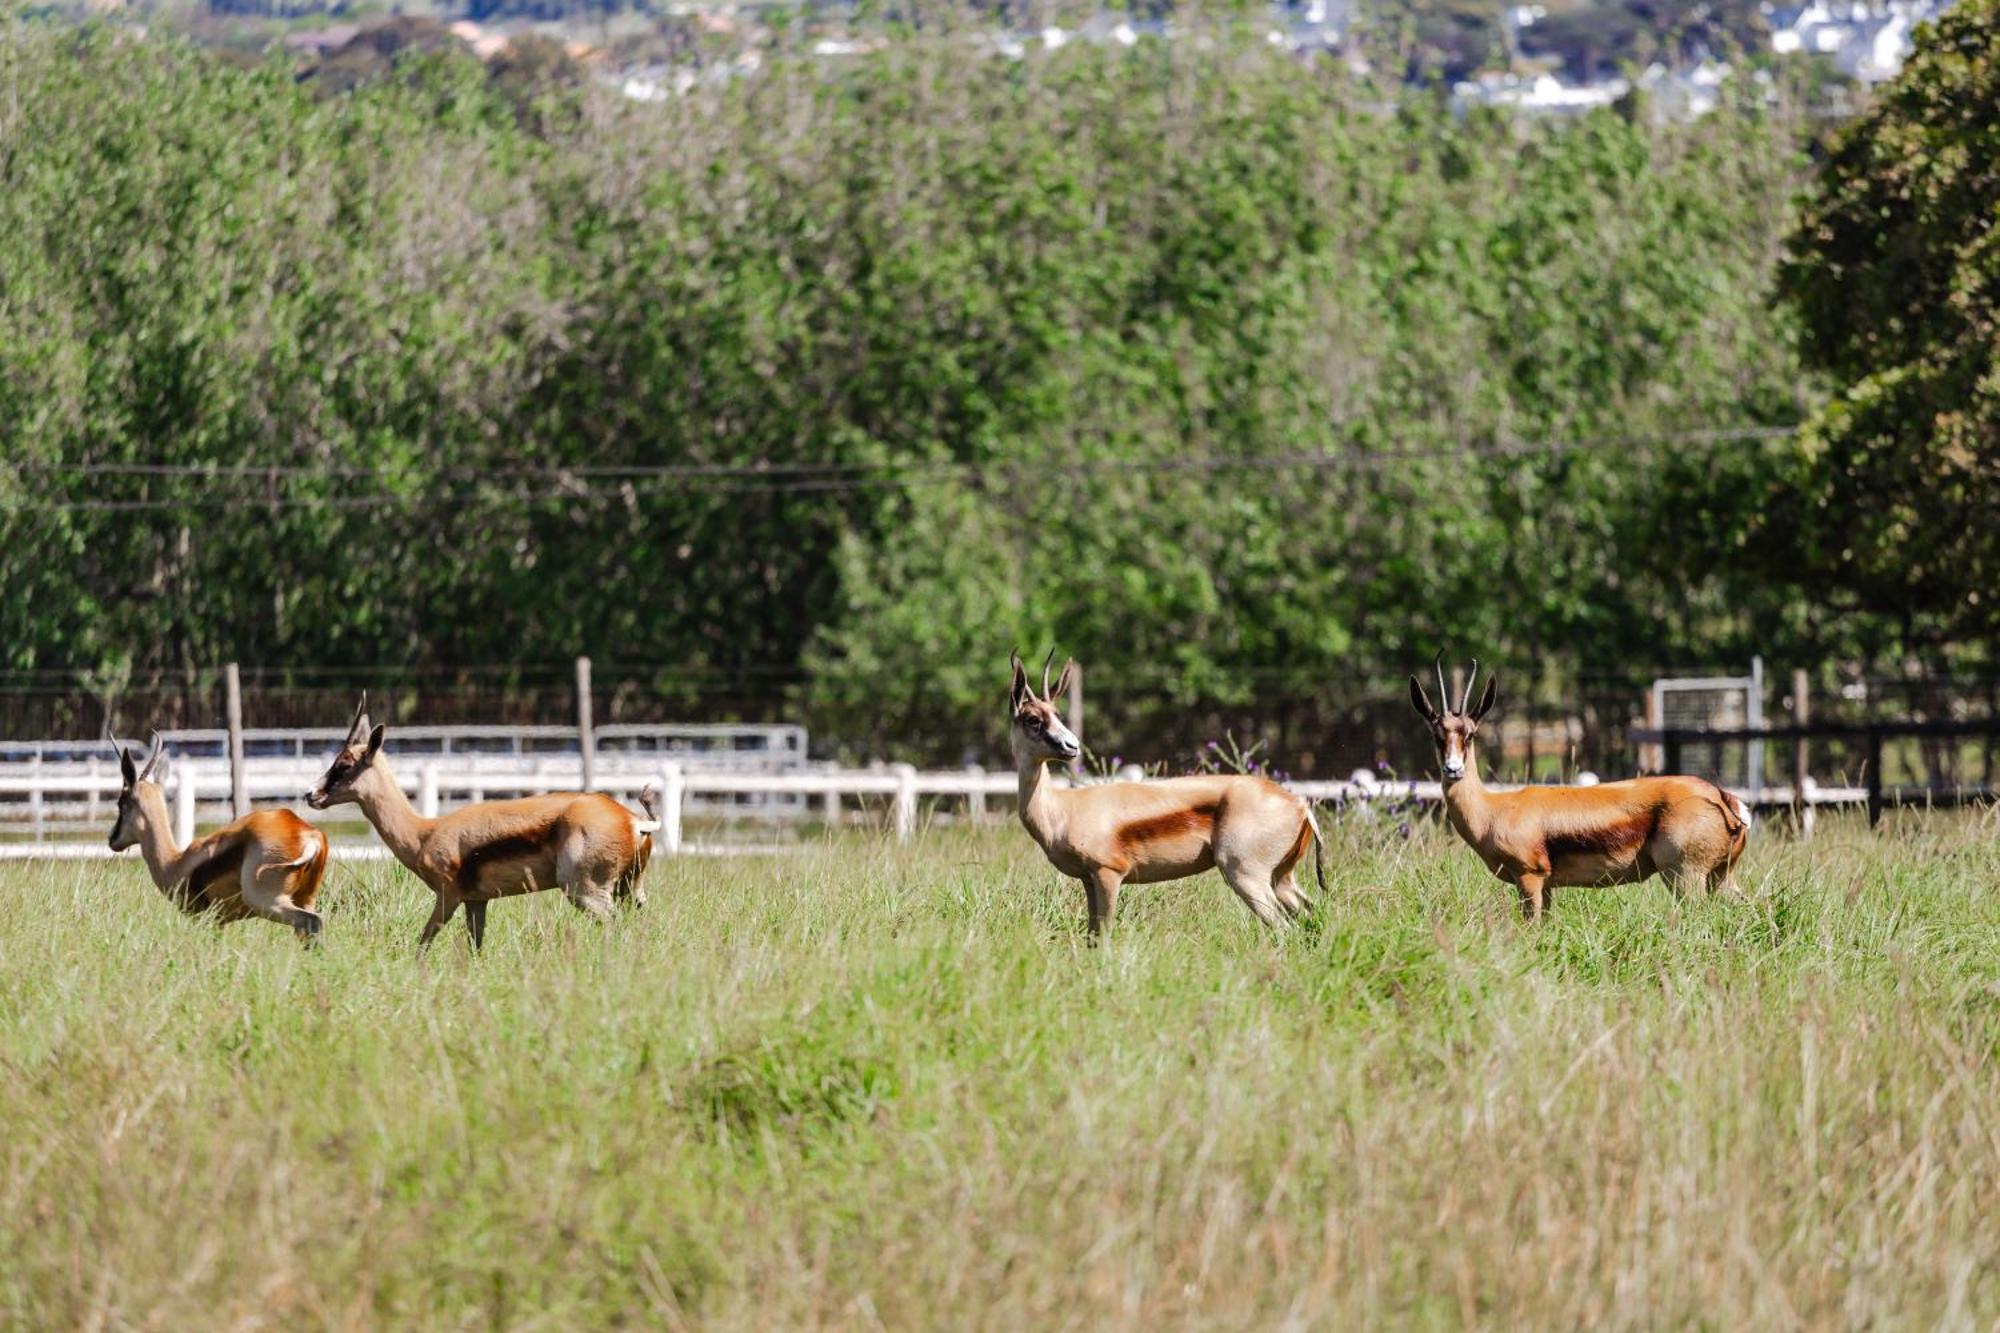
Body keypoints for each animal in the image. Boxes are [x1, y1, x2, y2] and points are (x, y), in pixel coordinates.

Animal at [107, 732, 326, 940]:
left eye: (120, 803)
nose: (112, 839)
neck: (175, 863)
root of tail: (306, 833)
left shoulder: (203, 919)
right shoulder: (219, 922)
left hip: (268, 902)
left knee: (313, 921)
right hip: (305, 899)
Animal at [304, 696, 652, 944]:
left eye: (344, 765)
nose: (310, 794)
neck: (424, 834)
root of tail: (633, 820)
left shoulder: (448, 897)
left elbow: (423, 943)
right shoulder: (477, 902)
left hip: (586, 892)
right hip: (630, 891)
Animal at [1008, 648, 1320, 928]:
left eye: (1056, 713)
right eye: (1033, 719)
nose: (1071, 746)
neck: (1062, 809)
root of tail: (1300, 805)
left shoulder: (1108, 873)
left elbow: (1104, 934)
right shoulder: (1088, 879)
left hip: (1246, 876)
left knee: (1284, 928)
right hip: (1281, 879)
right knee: (1310, 914)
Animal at [1408, 660, 1752, 920]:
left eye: (1470, 734)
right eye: (1437, 734)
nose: (1453, 769)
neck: (1494, 810)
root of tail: (1720, 797)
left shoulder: (1529, 879)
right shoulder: (1546, 887)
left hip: (1685, 878)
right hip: (1721, 878)